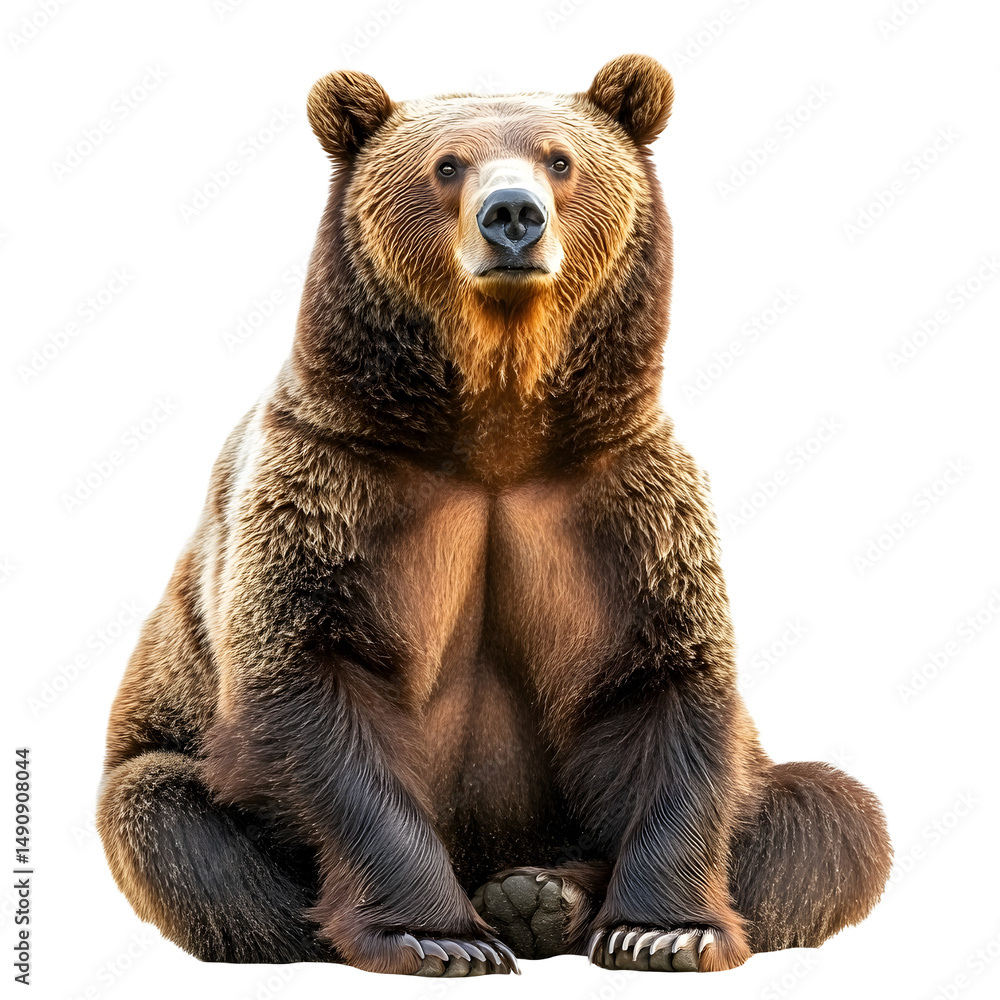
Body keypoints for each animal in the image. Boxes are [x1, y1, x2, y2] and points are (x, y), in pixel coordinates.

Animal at [96, 54, 892, 977]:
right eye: (447, 164)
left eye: (559, 159)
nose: (512, 216)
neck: (495, 430)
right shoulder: (333, 485)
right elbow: (313, 684)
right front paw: (438, 936)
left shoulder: (620, 500)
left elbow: (659, 683)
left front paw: (662, 930)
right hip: (165, 753)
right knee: (167, 821)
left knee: (832, 815)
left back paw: (540, 894)